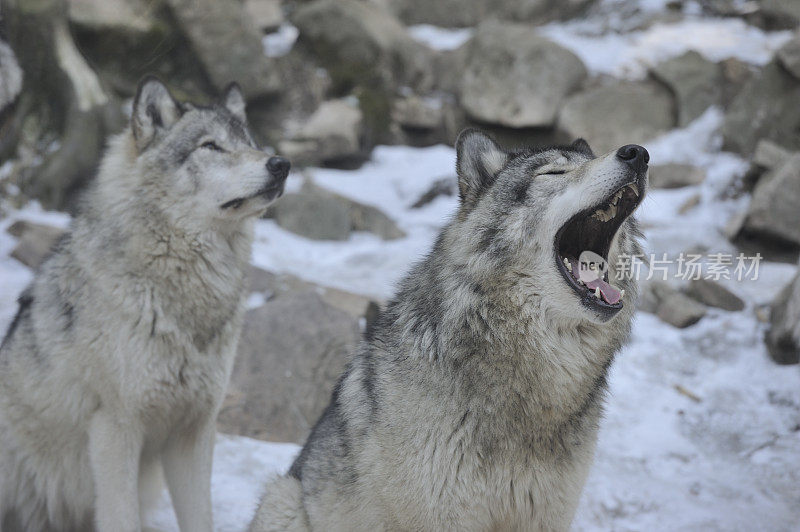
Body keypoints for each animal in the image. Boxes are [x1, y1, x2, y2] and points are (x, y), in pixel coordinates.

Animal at [0, 76, 292, 532]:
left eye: (251, 144)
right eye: (211, 146)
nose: (281, 164)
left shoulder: (195, 431)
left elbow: (201, 518)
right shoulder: (115, 430)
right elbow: (121, 518)